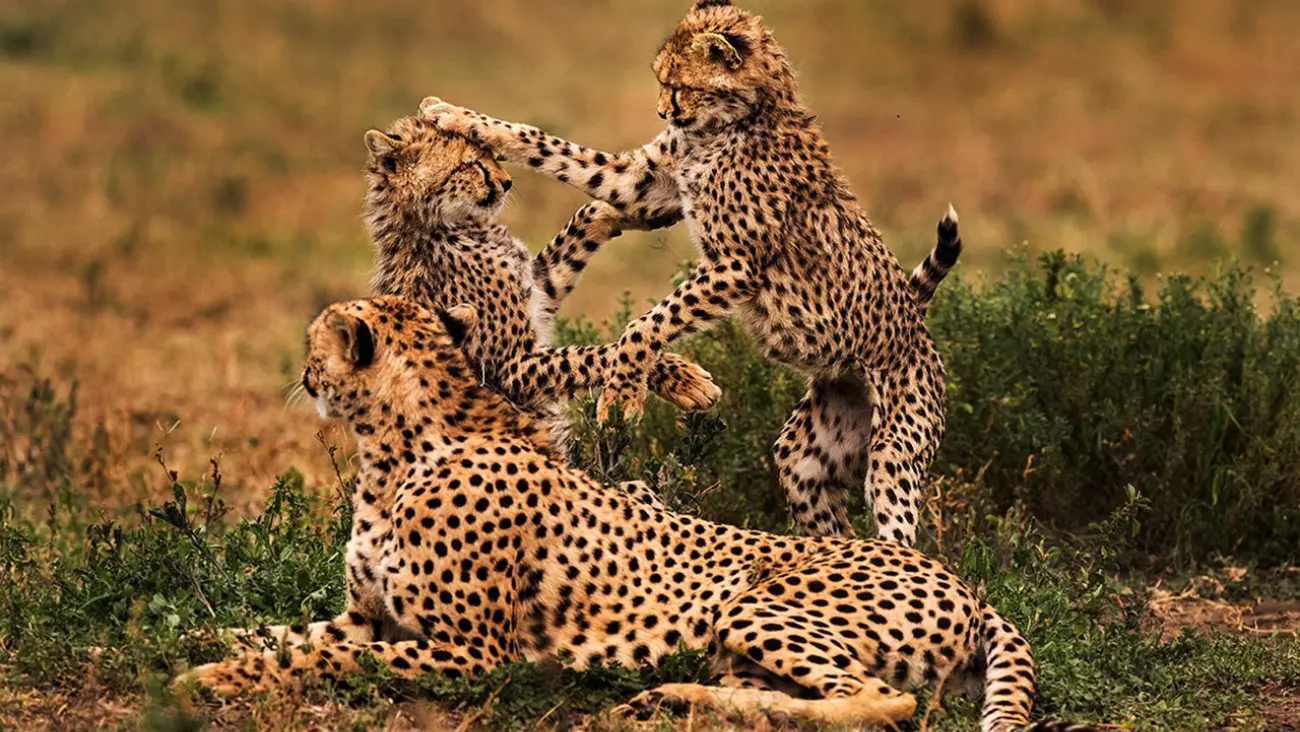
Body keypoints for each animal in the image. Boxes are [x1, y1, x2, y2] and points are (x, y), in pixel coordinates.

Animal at [174, 295, 1093, 732]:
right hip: (738, 644)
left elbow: (318, 659)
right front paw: (200, 638)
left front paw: (209, 678)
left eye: (317, 340)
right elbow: (278, 633)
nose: (301, 370)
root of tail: (966, 584)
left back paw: (672, 699)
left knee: (882, 701)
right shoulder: (369, 615)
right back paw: (671, 699)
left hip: (753, 603)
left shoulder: (471, 652)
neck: (398, 447)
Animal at [419, 0, 959, 545]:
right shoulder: (643, 184)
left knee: (899, 525)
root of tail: (918, 327)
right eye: (663, 82)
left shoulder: (736, 266)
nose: (664, 112)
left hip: (895, 447)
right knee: (824, 506)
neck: (737, 120)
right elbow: (551, 147)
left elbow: (647, 325)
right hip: (808, 452)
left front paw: (621, 395)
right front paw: (460, 117)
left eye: (679, 85)